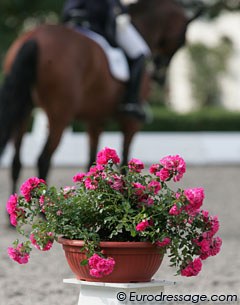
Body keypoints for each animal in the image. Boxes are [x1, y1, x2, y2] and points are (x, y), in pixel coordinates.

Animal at [0, 0, 199, 191]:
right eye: (182, 39)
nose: (159, 75)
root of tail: (35, 37)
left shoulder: (95, 120)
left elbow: (93, 164)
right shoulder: (131, 123)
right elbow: (126, 163)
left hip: (24, 109)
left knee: (16, 162)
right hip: (59, 114)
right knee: (43, 159)